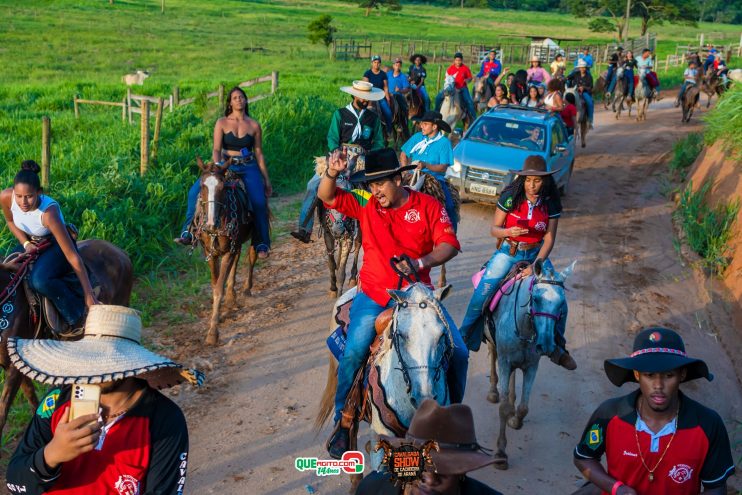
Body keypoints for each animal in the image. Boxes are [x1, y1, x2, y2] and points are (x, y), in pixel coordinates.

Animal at [193, 158, 260, 344]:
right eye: (202, 185)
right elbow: (215, 283)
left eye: (223, 188)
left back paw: (246, 289)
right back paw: (231, 297)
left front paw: (213, 332)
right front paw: (220, 312)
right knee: (237, 259)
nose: (210, 224)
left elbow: (218, 289)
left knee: (251, 256)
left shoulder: (228, 250)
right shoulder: (210, 253)